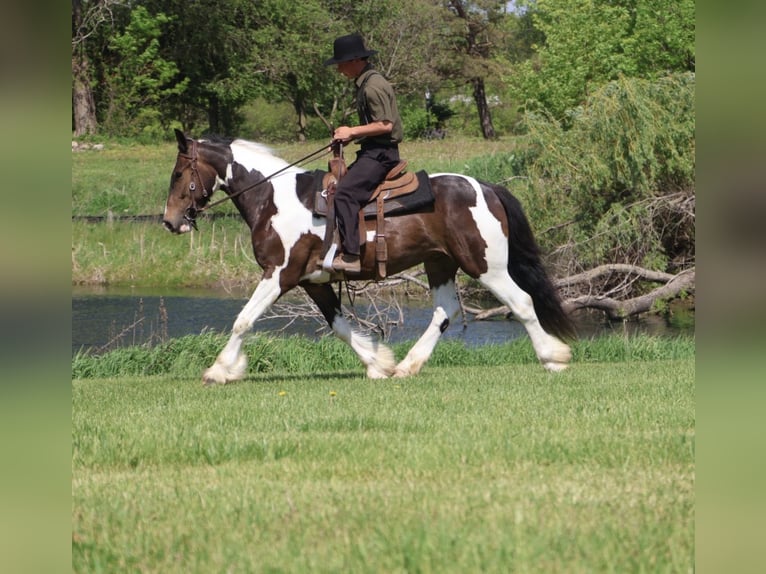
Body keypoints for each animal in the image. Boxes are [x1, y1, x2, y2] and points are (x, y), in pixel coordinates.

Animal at [163, 129, 575, 384]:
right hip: (440, 263)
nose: (169, 221)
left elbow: (243, 320)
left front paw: (219, 370)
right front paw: (379, 363)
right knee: (446, 312)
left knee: (521, 302)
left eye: (179, 173)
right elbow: (340, 326)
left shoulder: (279, 274)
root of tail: (486, 187)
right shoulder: (313, 282)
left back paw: (553, 357)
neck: (273, 199)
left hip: (487, 266)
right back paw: (408, 366)